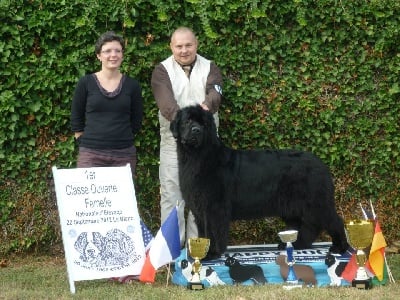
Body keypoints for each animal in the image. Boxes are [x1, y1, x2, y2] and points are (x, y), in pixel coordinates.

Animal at [170, 105, 348, 258]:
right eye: (187, 121)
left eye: (204, 124)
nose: (196, 130)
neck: (198, 157)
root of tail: (321, 164)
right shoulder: (199, 207)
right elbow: (203, 232)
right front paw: (204, 252)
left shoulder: (214, 207)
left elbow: (213, 231)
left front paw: (211, 253)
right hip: (292, 207)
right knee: (306, 226)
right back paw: (297, 245)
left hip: (316, 203)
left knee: (333, 221)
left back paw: (339, 247)